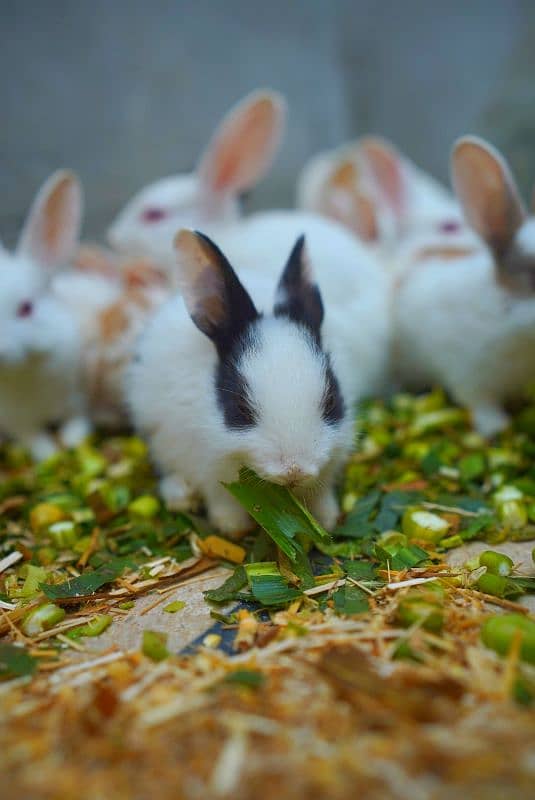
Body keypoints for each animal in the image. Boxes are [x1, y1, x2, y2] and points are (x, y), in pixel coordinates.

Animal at [0, 170, 119, 460]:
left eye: (26, 308)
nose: (0, 350)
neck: (24, 371)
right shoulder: (16, 422)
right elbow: (35, 441)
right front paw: (50, 454)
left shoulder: (77, 397)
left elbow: (78, 422)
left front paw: (72, 441)